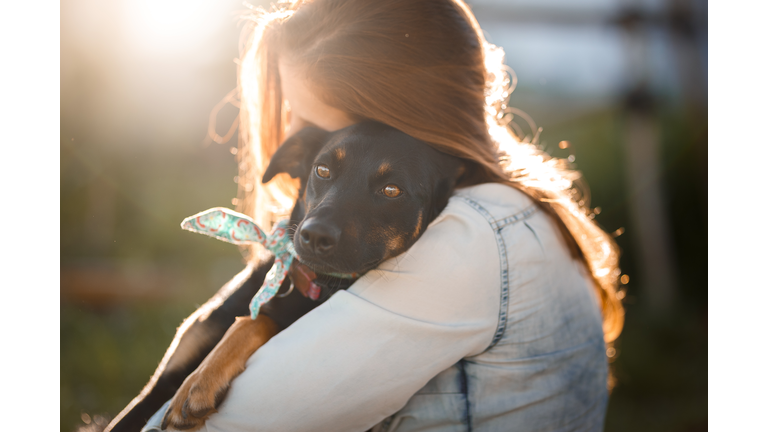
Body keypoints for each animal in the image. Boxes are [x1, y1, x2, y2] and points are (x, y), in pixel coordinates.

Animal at [105, 121, 464, 432]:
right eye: (322, 170)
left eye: (391, 190)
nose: (314, 235)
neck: (313, 285)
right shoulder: (153, 389)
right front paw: (201, 377)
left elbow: (254, 321)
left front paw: (199, 382)